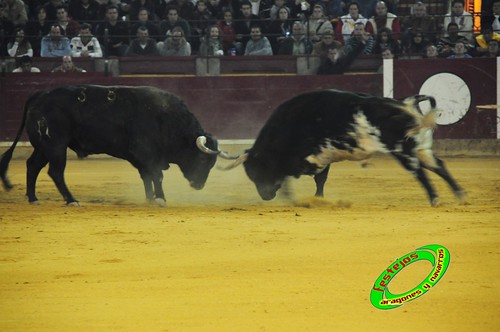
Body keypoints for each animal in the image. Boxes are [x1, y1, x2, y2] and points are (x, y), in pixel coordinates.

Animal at [0, 85, 232, 205]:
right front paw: (160, 198)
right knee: (55, 171)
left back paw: (33, 198)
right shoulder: (146, 153)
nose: (198, 185)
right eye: (202, 159)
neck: (167, 118)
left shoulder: (140, 158)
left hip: (43, 146)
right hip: (56, 145)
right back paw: (71, 200)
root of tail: (39, 95)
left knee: (33, 166)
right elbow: (156, 175)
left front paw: (150, 198)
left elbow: (147, 176)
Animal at [223, 89, 464, 206]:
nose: (265, 196)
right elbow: (320, 180)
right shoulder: (324, 157)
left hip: (402, 150)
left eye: (256, 171)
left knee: (419, 171)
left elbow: (294, 176)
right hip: (421, 147)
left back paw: (435, 199)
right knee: (438, 165)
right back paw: (460, 195)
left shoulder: (308, 158)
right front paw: (318, 199)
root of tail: (406, 103)